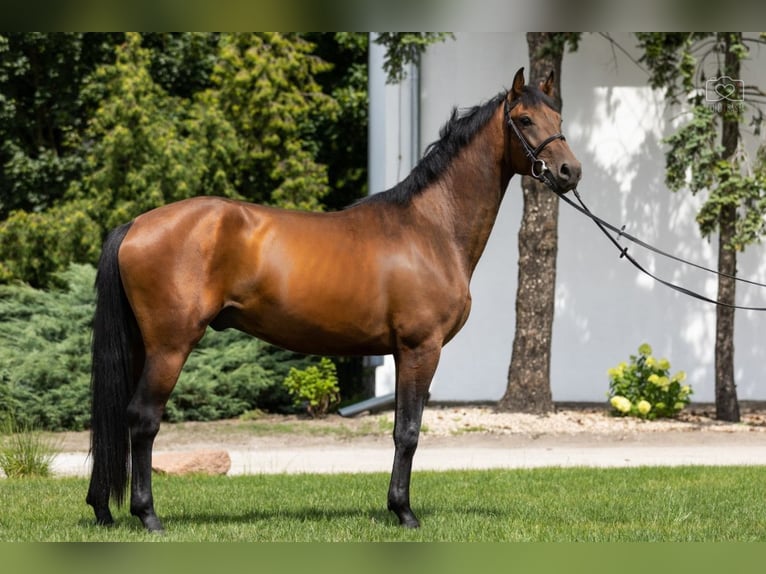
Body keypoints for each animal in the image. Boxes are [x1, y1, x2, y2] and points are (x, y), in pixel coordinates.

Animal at [86, 67, 582, 532]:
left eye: (558, 117)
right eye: (524, 119)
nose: (569, 172)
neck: (431, 228)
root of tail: (134, 225)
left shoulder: (400, 353)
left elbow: (401, 429)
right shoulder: (420, 349)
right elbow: (408, 432)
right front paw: (404, 512)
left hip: (144, 346)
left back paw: (103, 508)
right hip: (170, 347)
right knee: (143, 419)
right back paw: (148, 515)